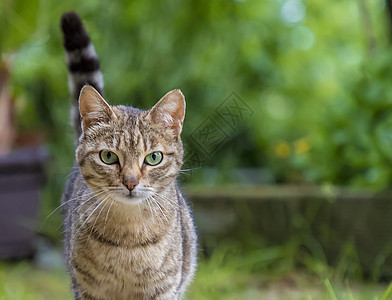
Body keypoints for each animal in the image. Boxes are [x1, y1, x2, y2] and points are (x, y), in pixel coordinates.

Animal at [59, 11, 198, 300]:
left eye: (154, 158)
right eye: (108, 157)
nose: (131, 182)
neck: (128, 239)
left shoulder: (165, 290)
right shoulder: (87, 290)